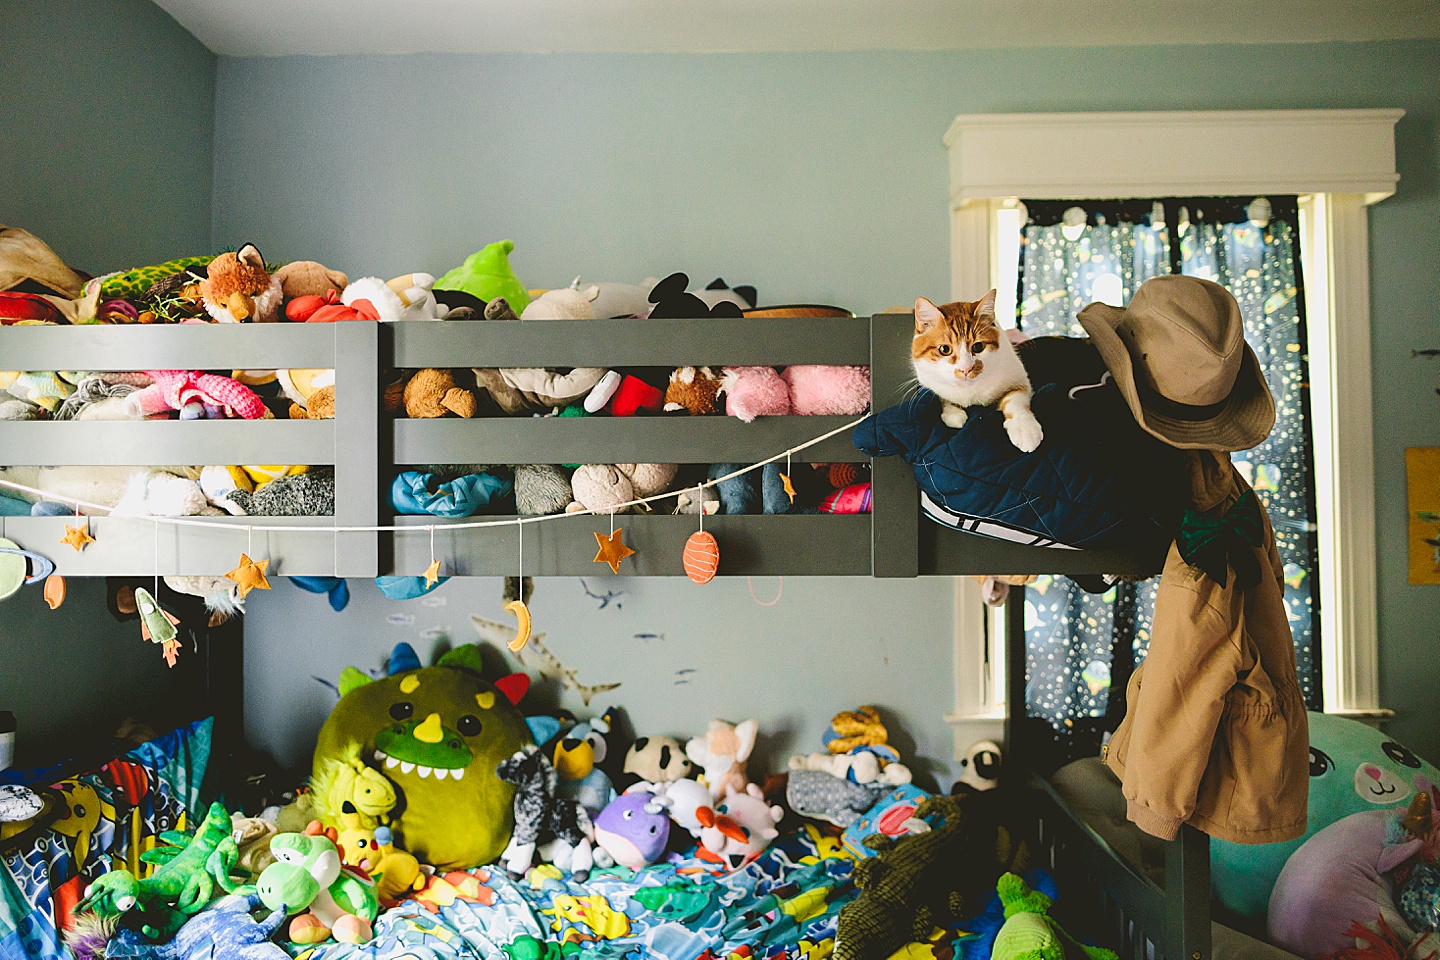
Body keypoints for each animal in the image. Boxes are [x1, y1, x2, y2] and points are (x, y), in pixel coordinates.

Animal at [915, 289, 1042, 454]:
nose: (966, 369)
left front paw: (1025, 429)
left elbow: (1014, 401)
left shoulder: (1021, 382)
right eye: (944, 349)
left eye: (978, 347)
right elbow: (943, 397)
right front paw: (954, 414)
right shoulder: (928, 382)